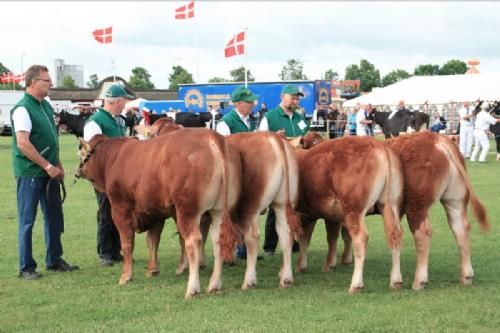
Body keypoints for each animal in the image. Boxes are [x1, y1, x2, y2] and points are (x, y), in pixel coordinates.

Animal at [75, 127, 241, 298]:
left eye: (81, 153)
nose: (76, 171)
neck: (114, 158)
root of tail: (211, 136)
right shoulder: (155, 212)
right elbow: (153, 241)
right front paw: (153, 270)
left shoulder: (120, 209)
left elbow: (127, 243)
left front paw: (126, 276)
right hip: (218, 211)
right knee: (218, 241)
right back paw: (214, 284)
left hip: (187, 211)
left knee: (193, 241)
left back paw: (192, 288)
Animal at [294, 136, 404, 292]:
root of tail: (380, 146)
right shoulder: (322, 215)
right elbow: (316, 238)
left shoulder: (302, 214)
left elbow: (304, 237)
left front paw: (300, 266)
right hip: (390, 204)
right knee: (394, 234)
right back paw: (396, 281)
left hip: (354, 209)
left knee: (361, 238)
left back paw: (356, 285)